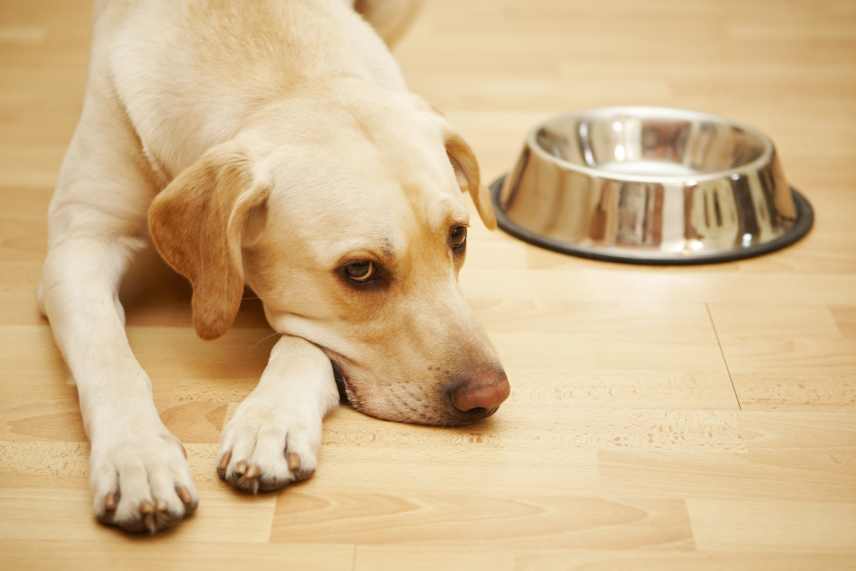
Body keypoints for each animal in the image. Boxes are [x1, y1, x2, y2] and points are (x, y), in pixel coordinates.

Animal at [40, 1, 508, 536]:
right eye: (360, 271)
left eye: (458, 237)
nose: (491, 394)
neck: (282, 78)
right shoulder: (80, 243)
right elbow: (109, 356)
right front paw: (137, 456)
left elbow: (303, 345)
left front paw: (271, 422)